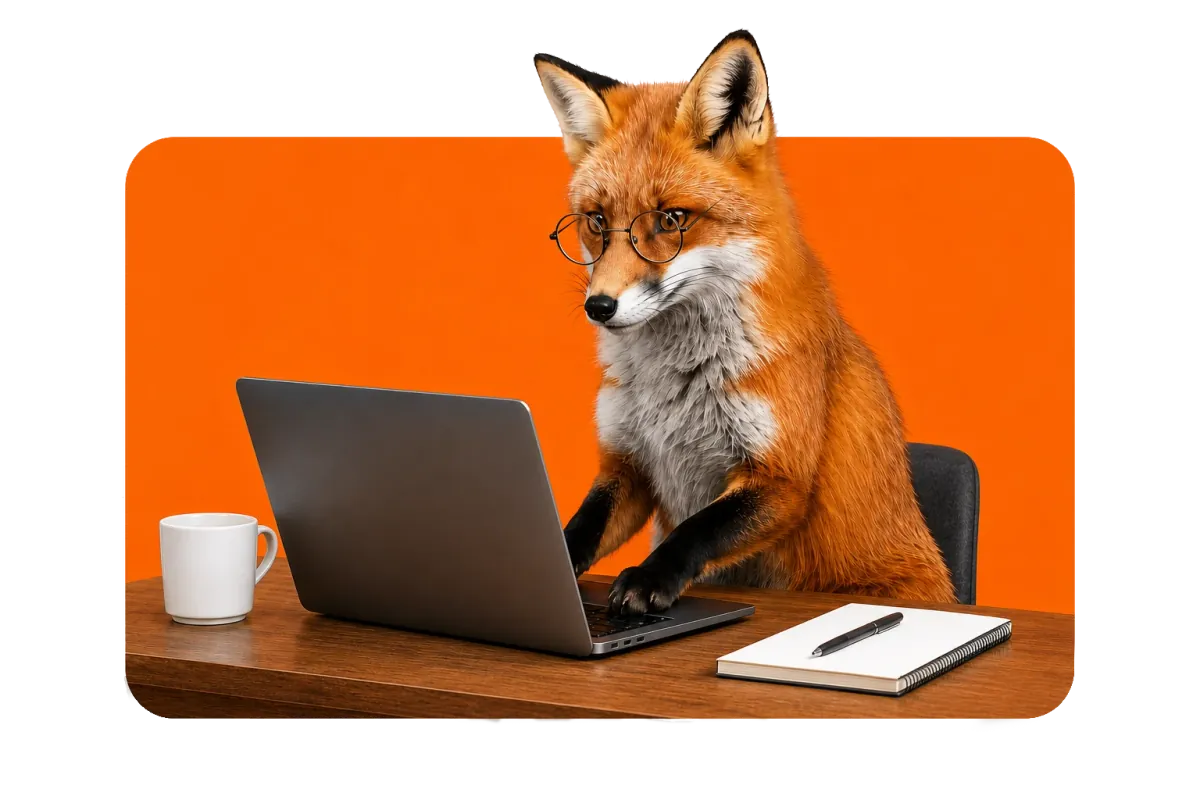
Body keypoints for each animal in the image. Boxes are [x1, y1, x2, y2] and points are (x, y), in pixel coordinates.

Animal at [533, 30, 957, 616]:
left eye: (671, 219)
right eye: (597, 221)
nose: (598, 306)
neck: (672, 386)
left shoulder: (782, 477)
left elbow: (697, 529)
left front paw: (648, 578)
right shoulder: (629, 465)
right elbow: (578, 531)